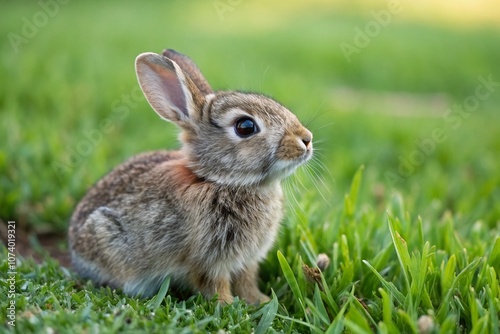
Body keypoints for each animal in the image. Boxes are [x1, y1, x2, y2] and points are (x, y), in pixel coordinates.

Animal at [68, 48, 312, 304]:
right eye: (245, 126)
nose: (306, 139)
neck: (219, 179)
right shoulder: (208, 261)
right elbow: (215, 285)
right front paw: (228, 305)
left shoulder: (247, 261)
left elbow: (247, 282)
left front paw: (260, 301)